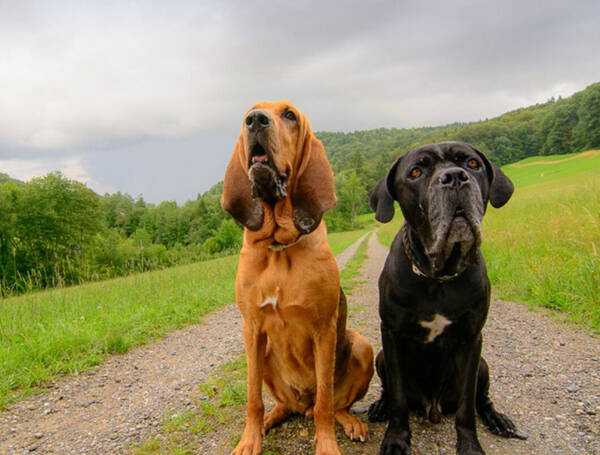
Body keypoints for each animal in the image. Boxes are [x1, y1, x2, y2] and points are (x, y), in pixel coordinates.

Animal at [223, 101, 372, 454]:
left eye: (289, 115)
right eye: (249, 113)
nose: (255, 121)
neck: (279, 247)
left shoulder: (324, 329)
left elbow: (325, 404)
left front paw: (327, 445)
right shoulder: (251, 329)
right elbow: (252, 399)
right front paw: (250, 440)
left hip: (363, 345)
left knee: (331, 404)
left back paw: (350, 423)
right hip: (264, 356)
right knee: (281, 405)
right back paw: (267, 422)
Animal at [366, 142, 524, 455]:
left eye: (473, 164)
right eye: (416, 172)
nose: (454, 177)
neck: (437, 277)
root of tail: (433, 406)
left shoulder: (472, 339)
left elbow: (466, 404)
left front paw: (470, 445)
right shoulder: (391, 334)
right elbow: (398, 396)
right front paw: (396, 439)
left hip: (483, 365)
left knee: (481, 399)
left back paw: (497, 419)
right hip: (380, 357)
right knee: (390, 391)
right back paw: (380, 406)